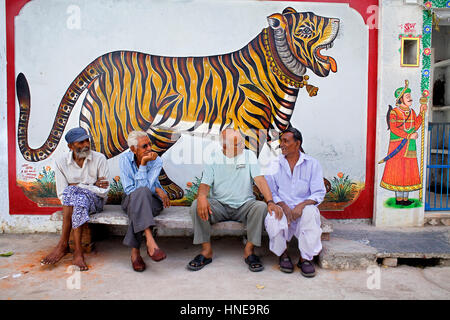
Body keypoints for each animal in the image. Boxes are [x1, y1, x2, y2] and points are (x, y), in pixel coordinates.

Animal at [16, 7, 342, 200]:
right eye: (307, 27)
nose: (337, 20)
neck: (288, 70)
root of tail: (105, 60)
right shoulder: (251, 130)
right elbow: (251, 164)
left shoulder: (279, 128)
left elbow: (300, 153)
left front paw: (322, 184)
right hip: (109, 131)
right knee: (82, 154)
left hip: (162, 132)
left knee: (147, 156)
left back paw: (169, 189)